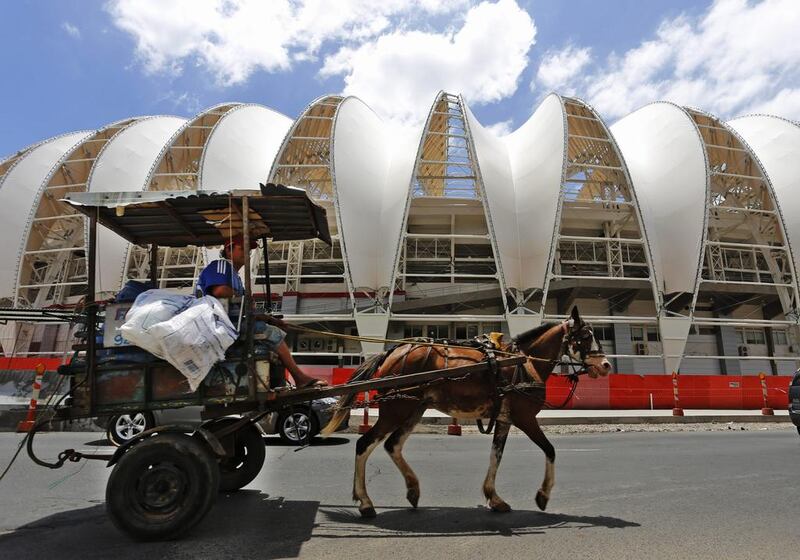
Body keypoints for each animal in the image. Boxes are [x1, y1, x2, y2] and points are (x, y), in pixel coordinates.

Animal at [322, 306, 608, 516]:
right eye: (585, 336)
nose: (605, 365)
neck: (524, 363)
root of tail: (394, 350)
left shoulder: (504, 419)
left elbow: (496, 456)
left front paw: (494, 497)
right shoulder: (525, 418)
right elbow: (550, 450)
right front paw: (543, 494)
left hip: (414, 408)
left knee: (392, 445)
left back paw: (412, 489)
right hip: (395, 410)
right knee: (364, 444)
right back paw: (365, 502)